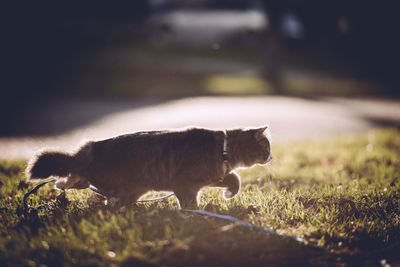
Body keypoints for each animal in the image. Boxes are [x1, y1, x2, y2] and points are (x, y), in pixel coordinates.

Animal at [25, 125, 272, 209]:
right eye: (267, 146)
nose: (271, 156)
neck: (223, 148)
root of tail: (91, 148)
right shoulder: (184, 184)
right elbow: (190, 204)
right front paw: (195, 216)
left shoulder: (212, 177)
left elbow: (234, 178)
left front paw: (229, 193)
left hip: (125, 189)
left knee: (82, 185)